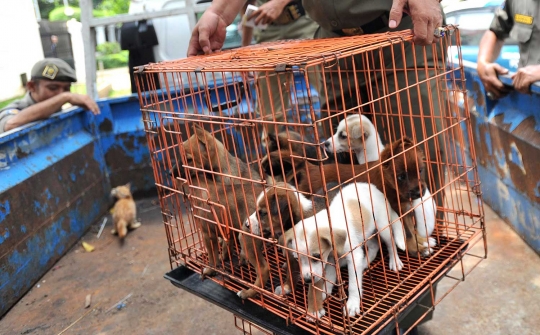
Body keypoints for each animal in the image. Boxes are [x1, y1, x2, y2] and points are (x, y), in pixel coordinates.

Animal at [284, 182, 402, 322]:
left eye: (316, 256)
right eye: (297, 259)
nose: (307, 280)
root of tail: (374, 188)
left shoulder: (353, 255)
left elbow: (353, 284)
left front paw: (352, 305)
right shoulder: (330, 258)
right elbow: (330, 275)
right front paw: (325, 290)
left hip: (382, 227)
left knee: (391, 243)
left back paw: (395, 262)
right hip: (365, 233)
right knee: (374, 246)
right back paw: (364, 263)